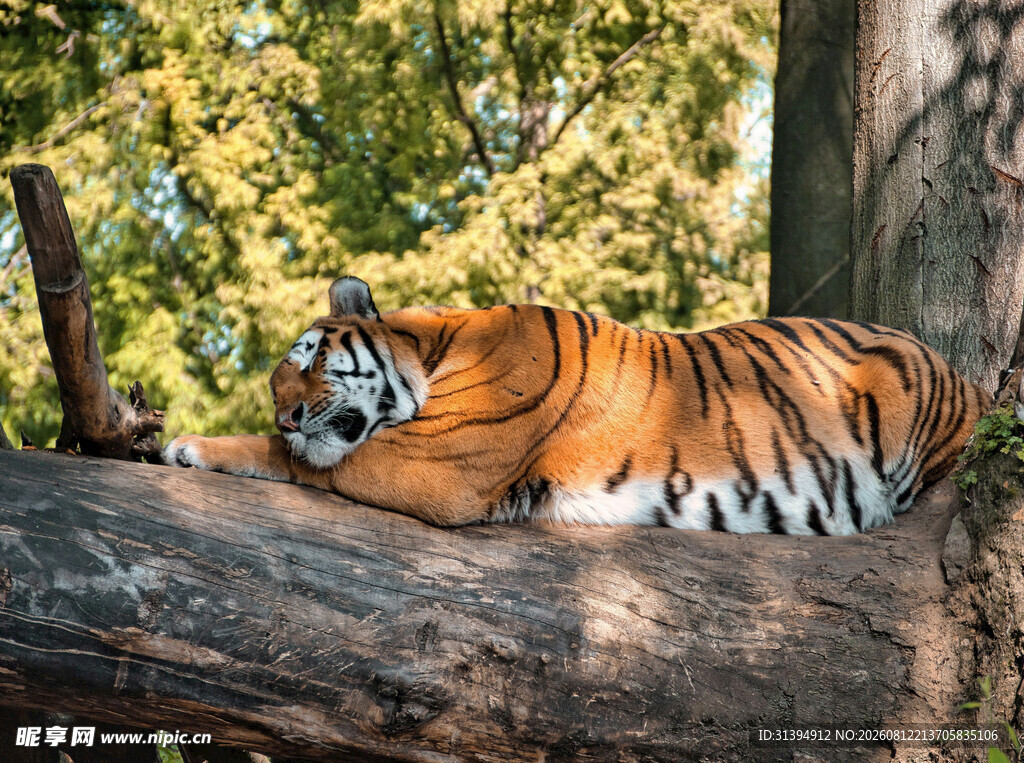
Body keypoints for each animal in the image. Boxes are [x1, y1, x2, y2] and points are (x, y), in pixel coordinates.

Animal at [164, 276, 991, 534]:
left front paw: (187, 443)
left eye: (307, 359)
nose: (286, 414)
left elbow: (296, 460)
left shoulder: (438, 464)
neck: (433, 354)